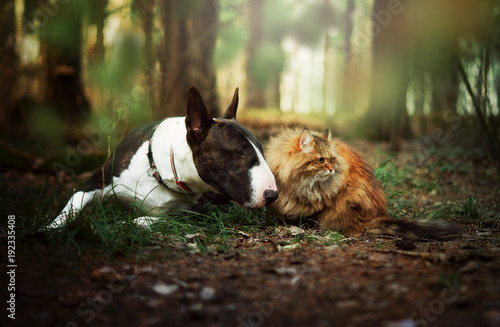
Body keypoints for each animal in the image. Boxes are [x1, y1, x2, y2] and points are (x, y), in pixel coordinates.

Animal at [47, 88, 280, 231]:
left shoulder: (193, 213)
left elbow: (149, 219)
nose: (272, 195)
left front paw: (121, 224)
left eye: (262, 151)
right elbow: (72, 206)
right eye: (238, 152)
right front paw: (48, 229)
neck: (161, 172)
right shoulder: (96, 181)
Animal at [266, 128, 460, 241]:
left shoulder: (319, 205)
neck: (300, 184)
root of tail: (380, 215)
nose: (332, 170)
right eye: (321, 160)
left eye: (332, 160)